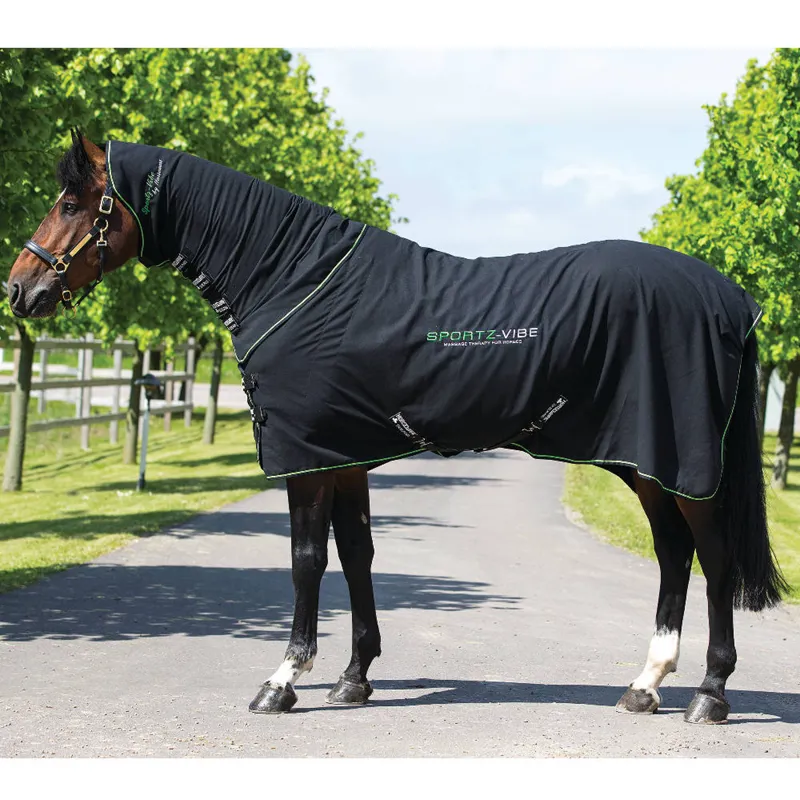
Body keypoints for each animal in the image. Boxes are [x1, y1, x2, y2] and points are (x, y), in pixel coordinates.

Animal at [7, 131, 788, 725]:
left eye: (72, 203)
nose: (21, 288)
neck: (293, 279)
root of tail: (729, 295)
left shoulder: (305, 459)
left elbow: (306, 561)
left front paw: (282, 681)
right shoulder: (343, 455)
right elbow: (358, 556)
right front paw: (354, 678)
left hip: (677, 465)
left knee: (714, 558)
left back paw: (710, 696)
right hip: (645, 464)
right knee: (673, 555)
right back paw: (645, 685)